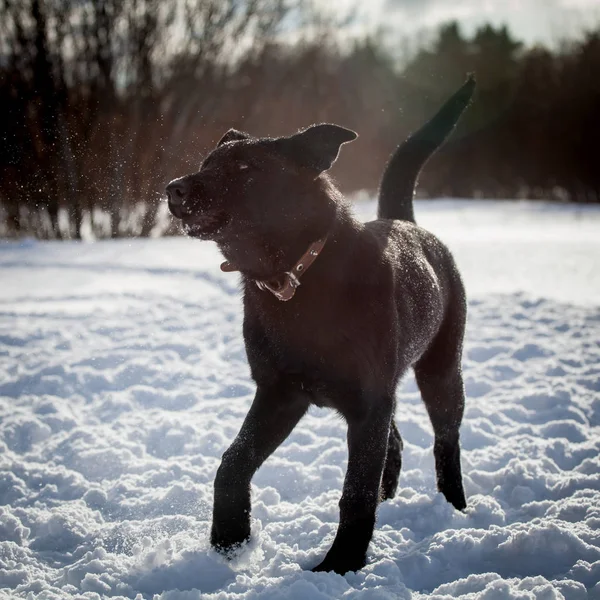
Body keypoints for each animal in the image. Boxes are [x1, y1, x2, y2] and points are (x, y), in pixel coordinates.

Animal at [166, 77, 476, 576]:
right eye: (206, 164)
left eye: (247, 167)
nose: (173, 189)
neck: (296, 277)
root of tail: (407, 223)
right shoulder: (280, 393)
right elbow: (232, 462)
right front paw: (229, 541)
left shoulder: (366, 402)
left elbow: (355, 493)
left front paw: (340, 565)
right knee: (396, 440)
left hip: (441, 370)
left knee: (446, 442)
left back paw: (455, 508)